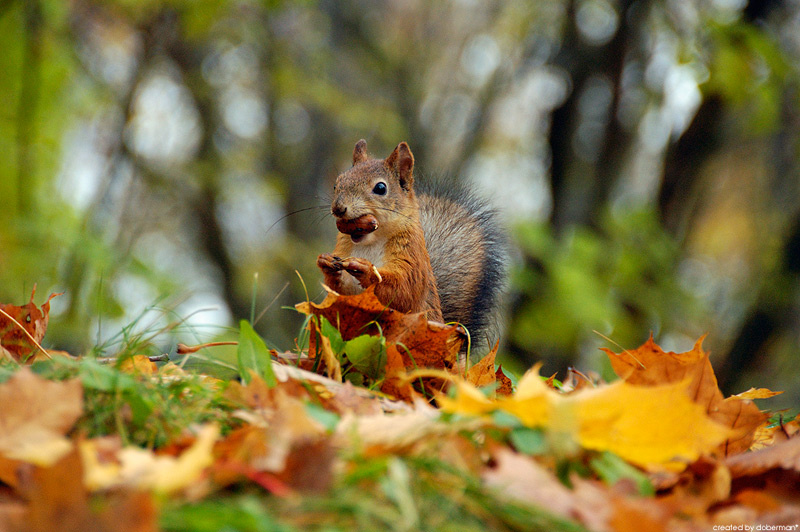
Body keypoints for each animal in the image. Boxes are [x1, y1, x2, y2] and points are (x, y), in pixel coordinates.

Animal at [317, 139, 507, 349]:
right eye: (337, 183)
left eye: (380, 188)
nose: (338, 208)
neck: (369, 242)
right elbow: (340, 296)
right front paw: (326, 264)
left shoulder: (412, 257)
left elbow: (404, 291)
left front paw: (366, 270)